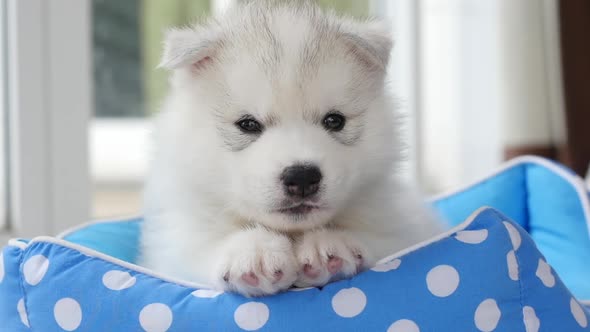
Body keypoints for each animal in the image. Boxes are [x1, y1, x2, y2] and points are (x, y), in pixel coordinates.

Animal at [140, 1, 444, 296]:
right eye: (248, 124)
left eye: (334, 120)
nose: (302, 177)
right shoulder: (177, 247)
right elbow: (202, 250)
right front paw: (254, 251)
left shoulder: (402, 228)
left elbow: (380, 241)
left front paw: (330, 245)